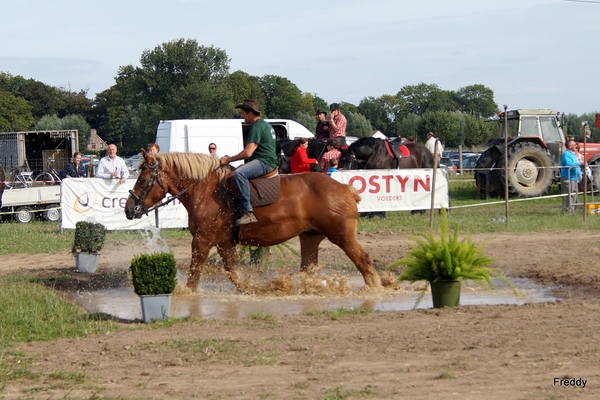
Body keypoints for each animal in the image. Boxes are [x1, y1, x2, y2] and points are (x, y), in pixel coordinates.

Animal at [124, 150, 382, 290]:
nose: (129, 209)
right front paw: (253, 290)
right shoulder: (224, 243)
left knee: (363, 260)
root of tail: (345, 188)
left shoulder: (202, 241)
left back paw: (375, 287)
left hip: (342, 236)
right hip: (309, 238)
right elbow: (234, 274)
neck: (205, 190)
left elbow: (194, 274)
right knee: (309, 269)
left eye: (142, 179)